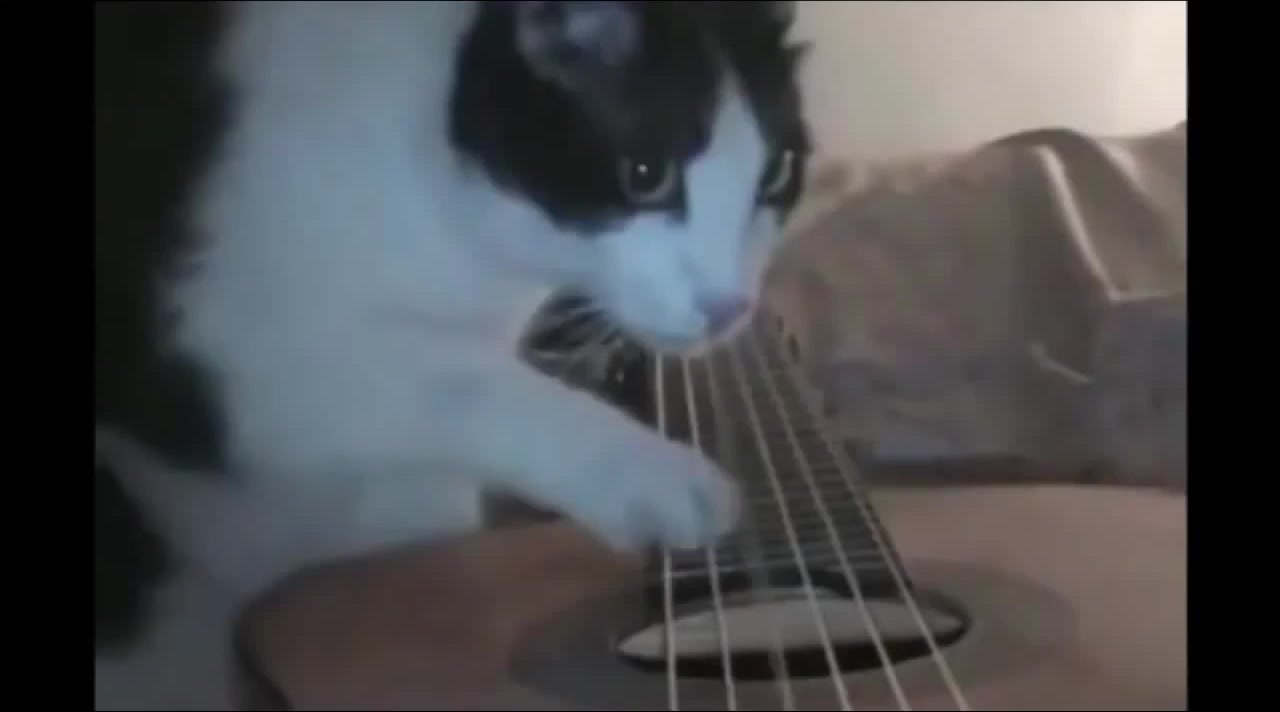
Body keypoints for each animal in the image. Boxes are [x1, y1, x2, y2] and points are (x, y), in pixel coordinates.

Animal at [95, 2, 810, 704]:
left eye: (776, 174)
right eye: (645, 177)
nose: (731, 307)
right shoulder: (224, 353)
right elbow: (457, 378)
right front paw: (652, 476)